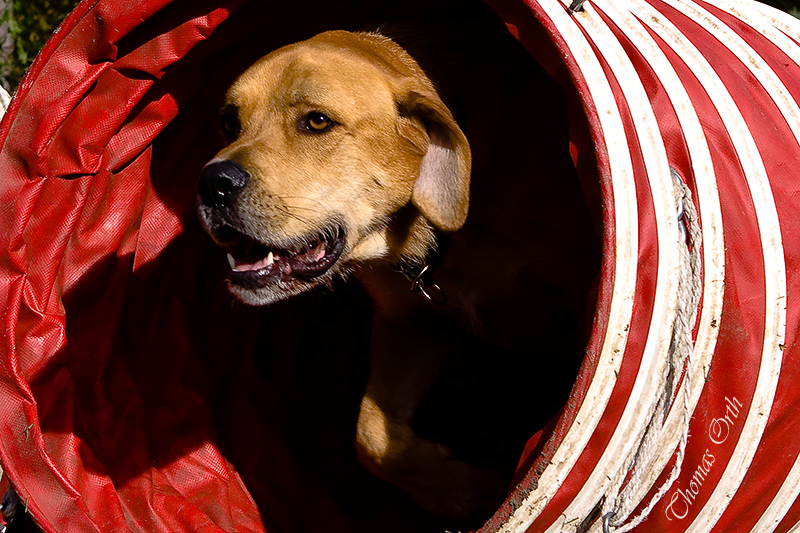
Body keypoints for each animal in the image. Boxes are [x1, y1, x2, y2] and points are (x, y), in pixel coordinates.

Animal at [198, 14, 600, 524]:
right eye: (229, 122)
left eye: (317, 121)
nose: (212, 184)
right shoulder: (410, 324)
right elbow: (370, 436)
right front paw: (459, 491)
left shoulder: (583, 300)